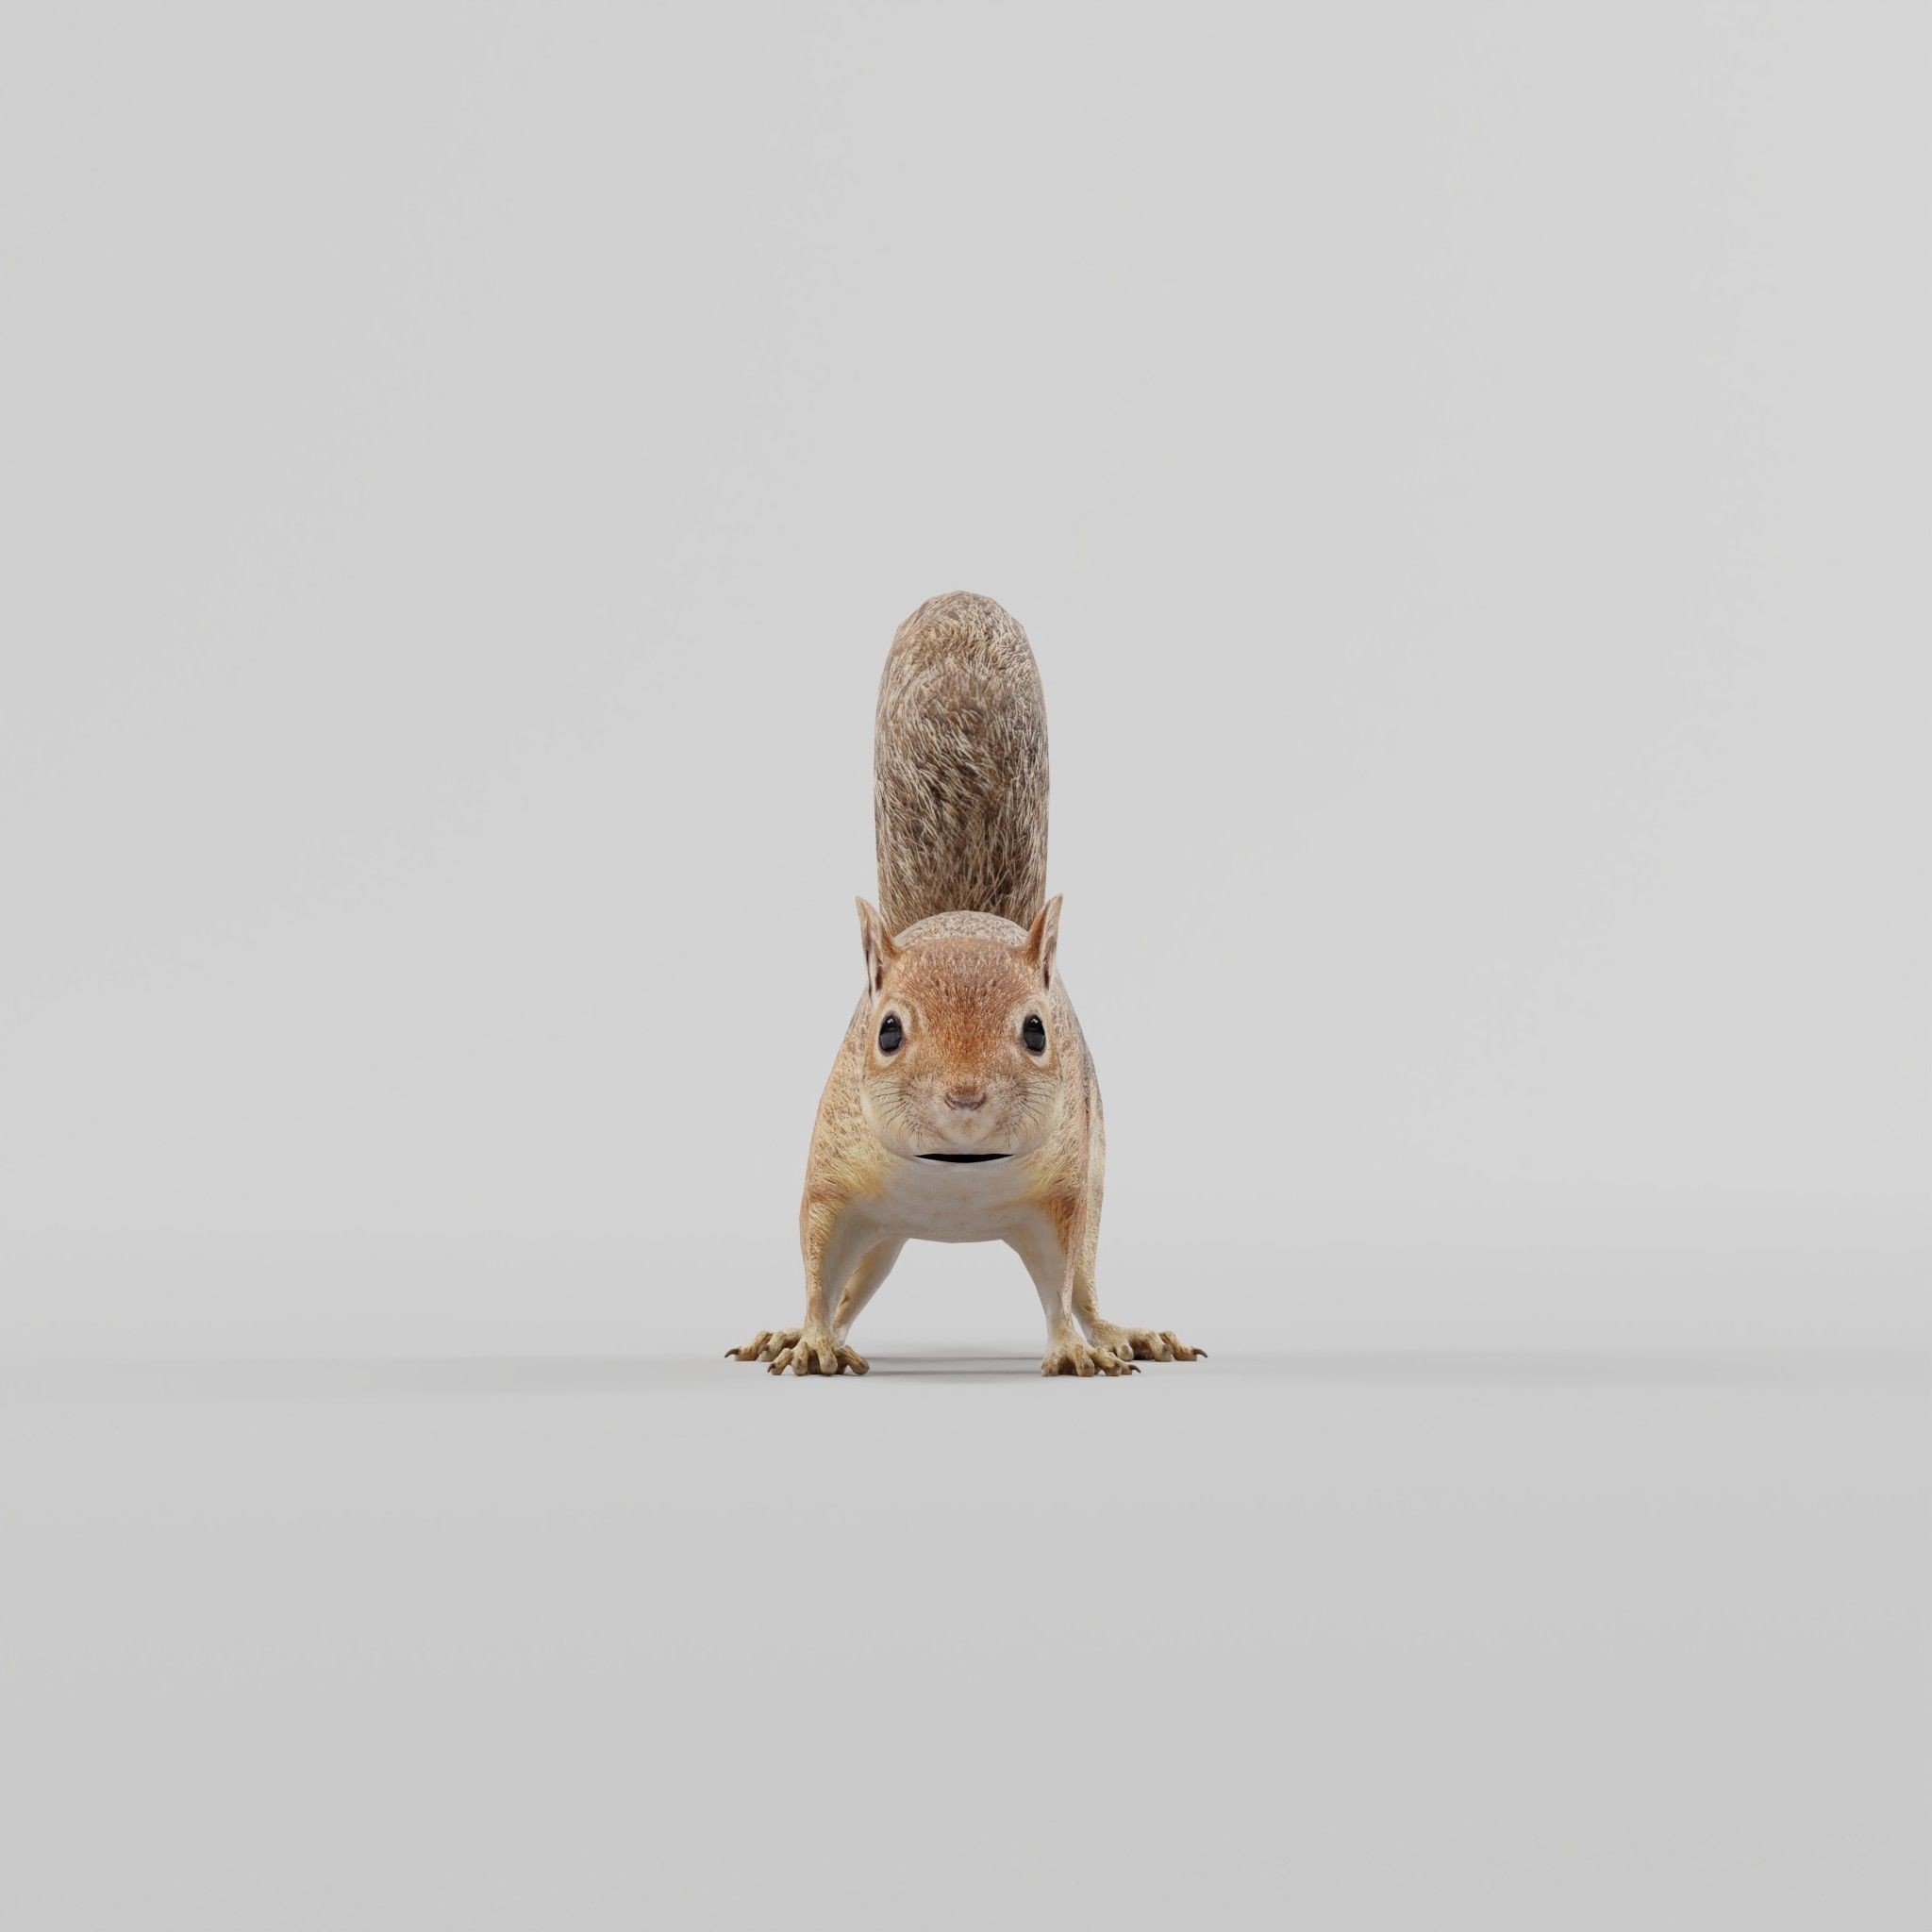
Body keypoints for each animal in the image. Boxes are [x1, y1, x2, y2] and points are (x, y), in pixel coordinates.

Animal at [728, 591, 1205, 1378]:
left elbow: (1059, 1290)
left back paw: (1120, 1334)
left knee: (1085, 1285)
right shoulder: (834, 1183)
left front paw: (1073, 1351)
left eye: (1038, 1031)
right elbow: (818, 1267)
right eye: (887, 1030)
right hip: (882, 1230)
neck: (955, 1173)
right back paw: (797, 1335)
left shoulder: (1064, 1196)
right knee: (851, 1289)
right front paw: (813, 1341)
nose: (965, 1098)